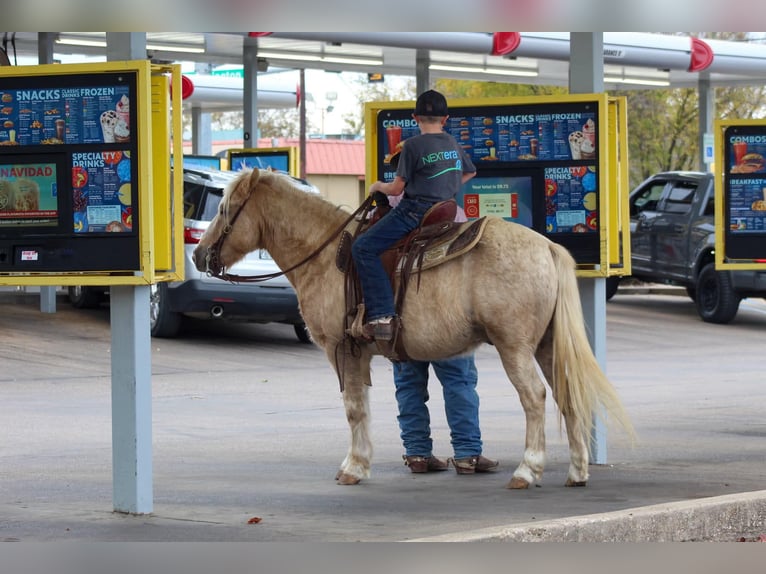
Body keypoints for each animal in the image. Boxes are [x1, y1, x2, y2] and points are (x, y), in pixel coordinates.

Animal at [192, 167, 634, 489]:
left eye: (225, 209)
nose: (198, 254)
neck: (325, 253)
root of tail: (548, 246)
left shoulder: (342, 349)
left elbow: (354, 409)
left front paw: (354, 467)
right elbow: (366, 406)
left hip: (515, 347)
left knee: (535, 398)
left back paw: (527, 471)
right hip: (545, 345)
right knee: (566, 395)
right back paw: (577, 471)